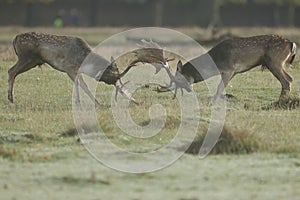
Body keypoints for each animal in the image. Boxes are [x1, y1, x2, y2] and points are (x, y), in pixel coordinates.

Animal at [7, 31, 138, 105]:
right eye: (113, 76)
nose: (118, 85)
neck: (83, 61)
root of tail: (14, 38)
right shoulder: (67, 67)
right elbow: (81, 85)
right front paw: (95, 103)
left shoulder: (77, 70)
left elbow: (81, 84)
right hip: (26, 58)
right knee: (11, 71)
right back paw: (11, 98)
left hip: (33, 61)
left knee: (12, 71)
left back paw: (10, 97)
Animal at [158, 34, 296, 101]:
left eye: (178, 78)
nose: (188, 90)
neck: (216, 62)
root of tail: (291, 43)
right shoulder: (233, 72)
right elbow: (222, 87)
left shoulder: (229, 69)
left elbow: (220, 87)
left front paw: (214, 100)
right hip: (277, 63)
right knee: (290, 78)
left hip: (274, 61)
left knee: (287, 80)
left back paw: (280, 100)